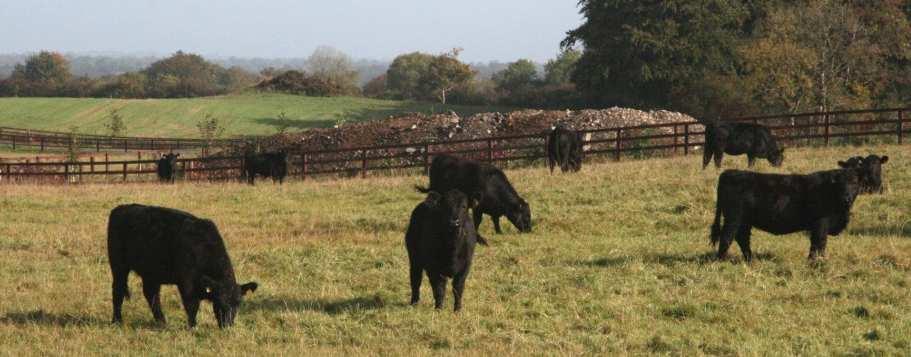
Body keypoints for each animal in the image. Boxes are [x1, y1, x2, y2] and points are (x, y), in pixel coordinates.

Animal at [110, 203, 260, 328]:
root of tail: (121, 208)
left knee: (151, 294)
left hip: (151, 272)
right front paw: (193, 326)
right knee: (118, 290)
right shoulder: (187, 282)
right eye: (219, 301)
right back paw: (117, 321)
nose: (227, 325)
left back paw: (162, 322)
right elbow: (192, 305)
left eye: (238, 303)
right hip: (119, 266)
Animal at [712, 154, 892, 260]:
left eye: (855, 183)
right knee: (727, 237)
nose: (846, 197)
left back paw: (750, 259)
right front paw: (815, 261)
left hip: (744, 221)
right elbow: (819, 242)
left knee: (742, 238)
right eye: (840, 184)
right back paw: (722, 259)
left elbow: (818, 244)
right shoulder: (820, 223)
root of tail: (729, 172)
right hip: (734, 218)